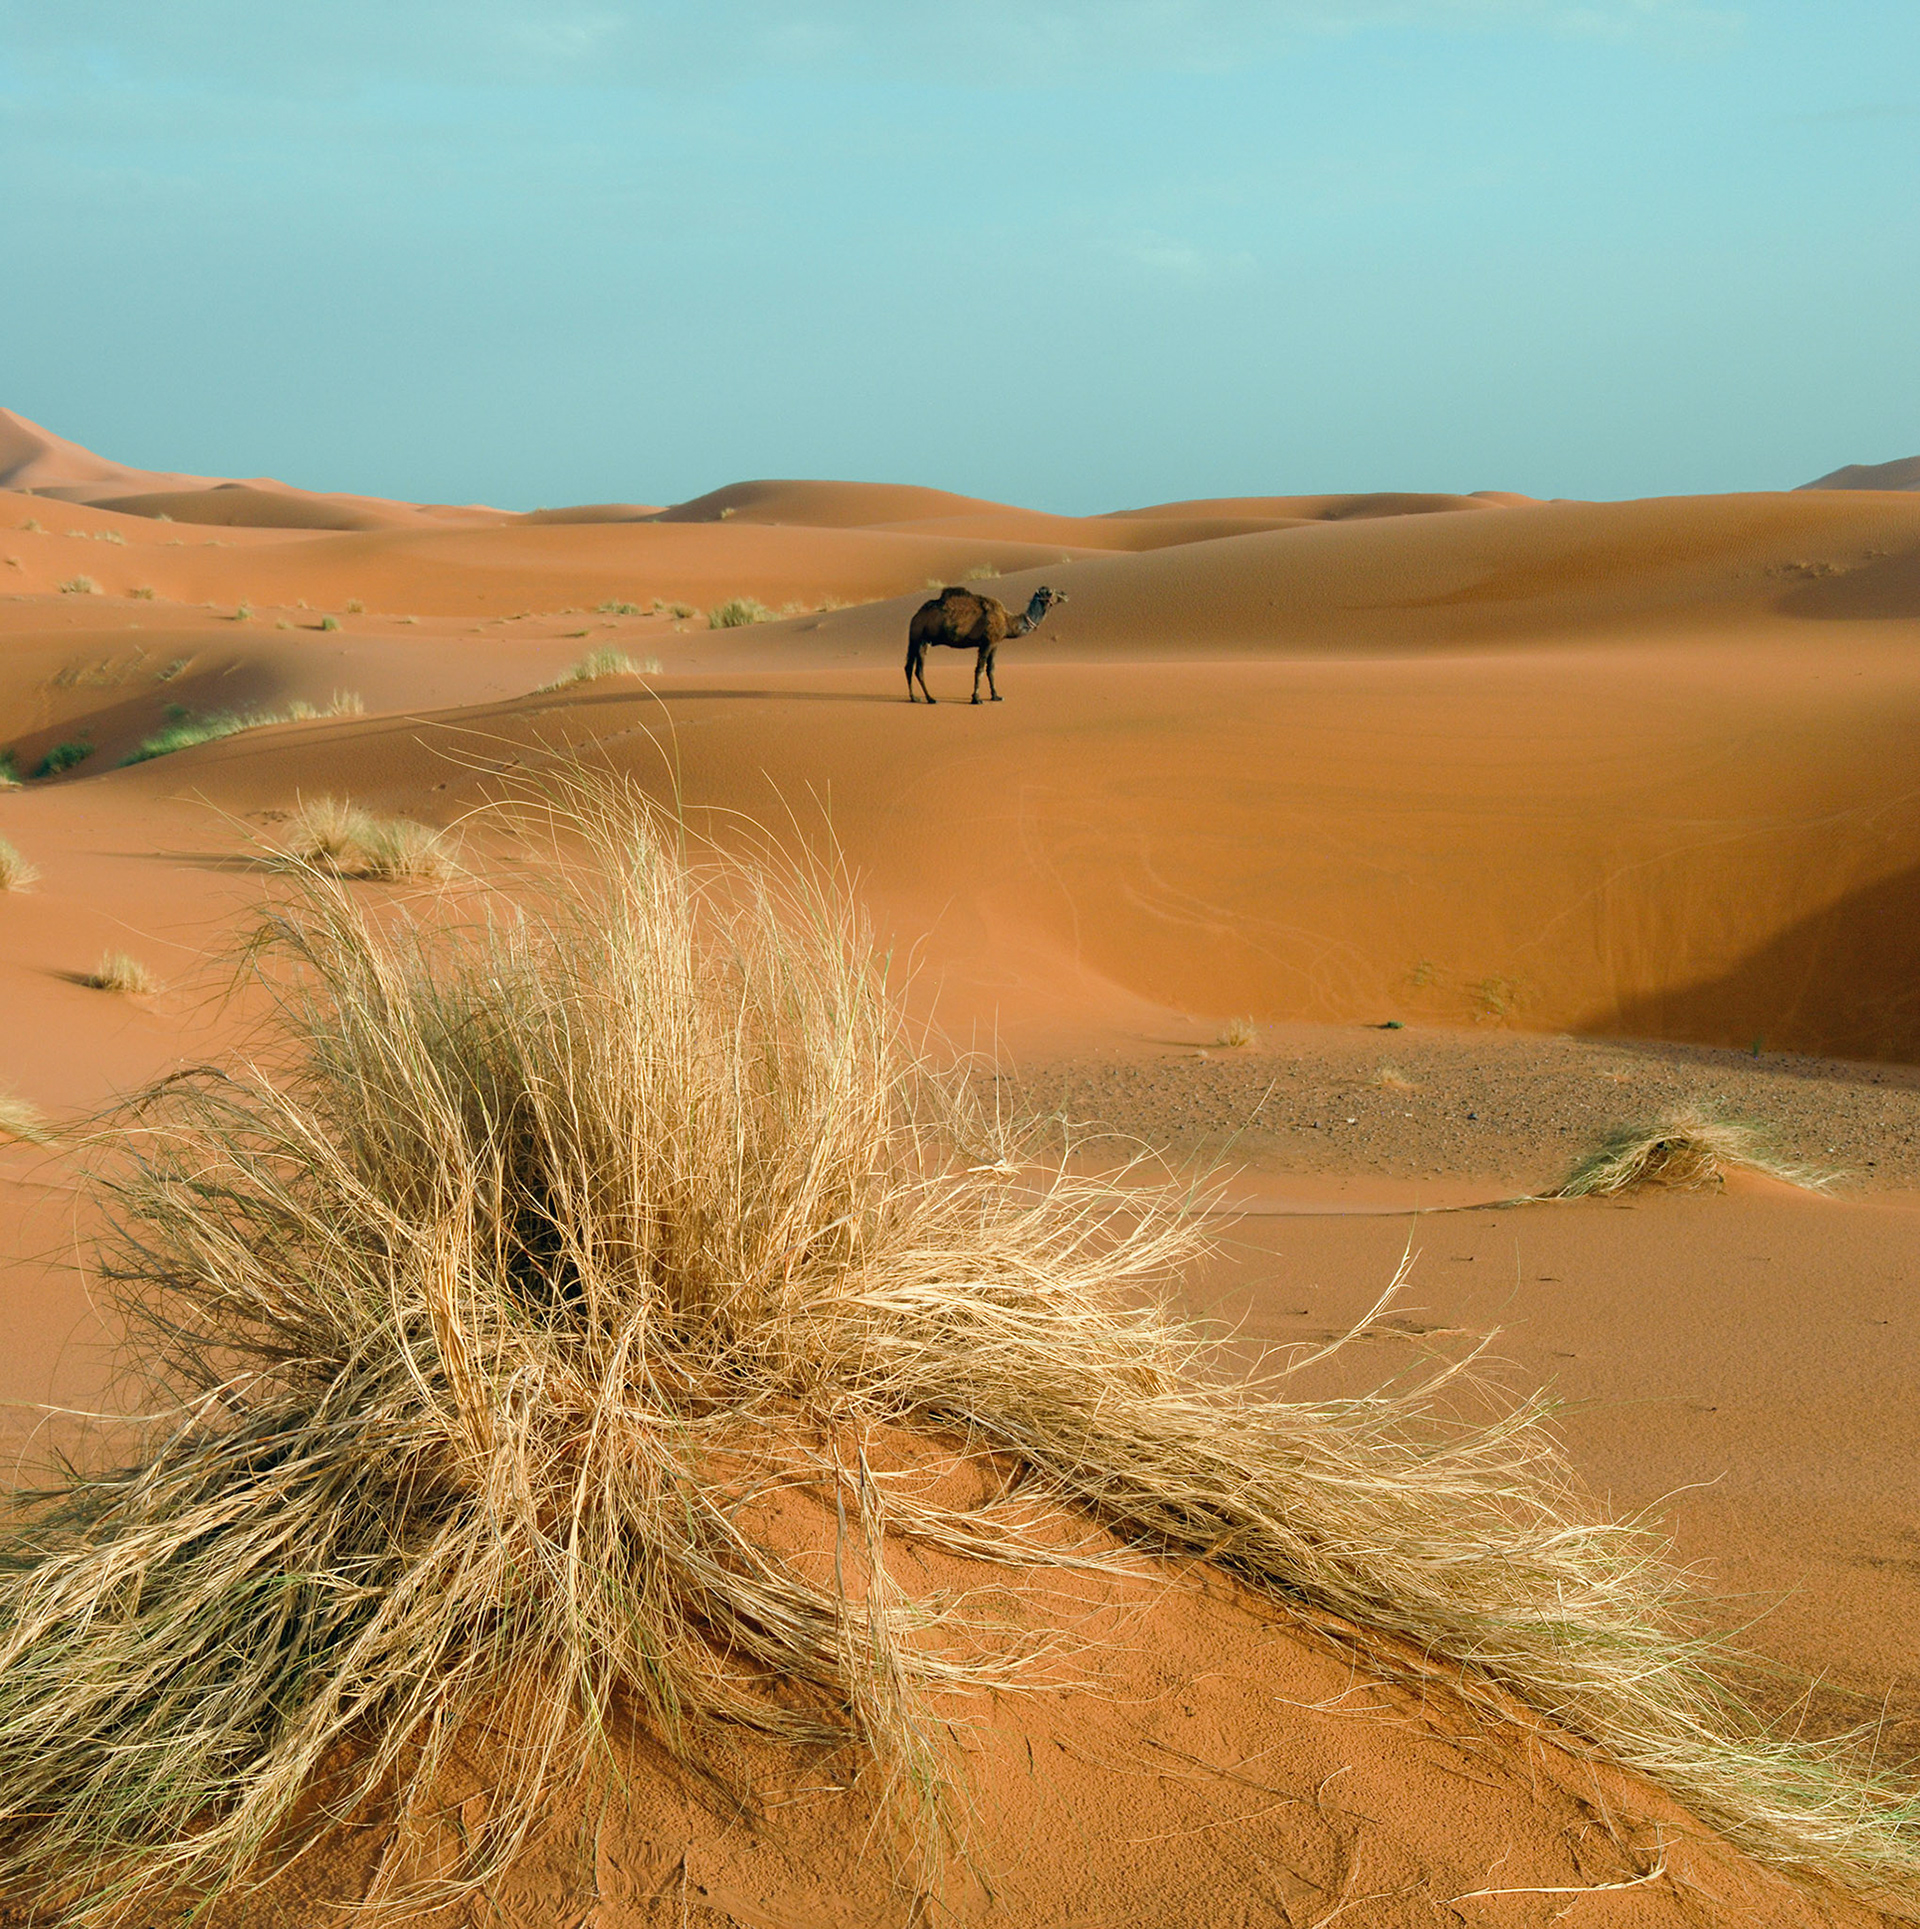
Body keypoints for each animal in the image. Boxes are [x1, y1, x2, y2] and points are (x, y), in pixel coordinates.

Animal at [904, 584, 1067, 704]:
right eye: (1050, 592)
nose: (1065, 594)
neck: (1008, 621)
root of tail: (915, 616)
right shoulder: (986, 642)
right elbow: (980, 669)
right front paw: (976, 699)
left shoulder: (995, 644)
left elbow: (991, 669)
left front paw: (996, 696)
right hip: (920, 638)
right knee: (918, 669)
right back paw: (930, 698)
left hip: (918, 640)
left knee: (909, 667)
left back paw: (914, 698)